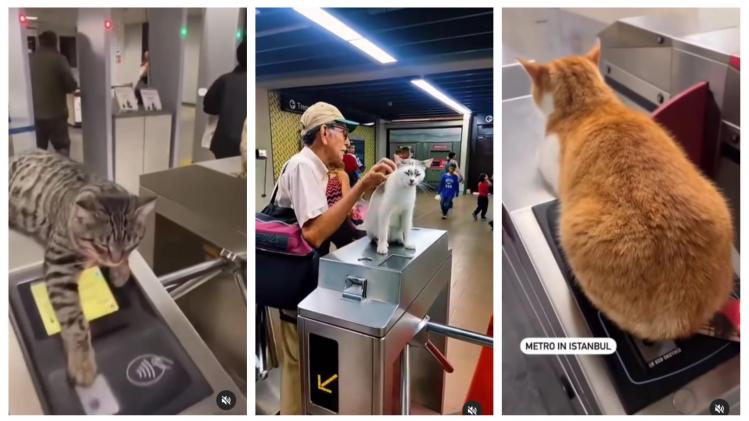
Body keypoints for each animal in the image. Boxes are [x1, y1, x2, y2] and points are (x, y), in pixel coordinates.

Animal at [9, 151, 155, 384]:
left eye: (131, 244)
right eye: (102, 245)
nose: (115, 259)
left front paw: (121, 270)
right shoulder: (59, 266)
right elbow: (75, 321)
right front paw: (82, 361)